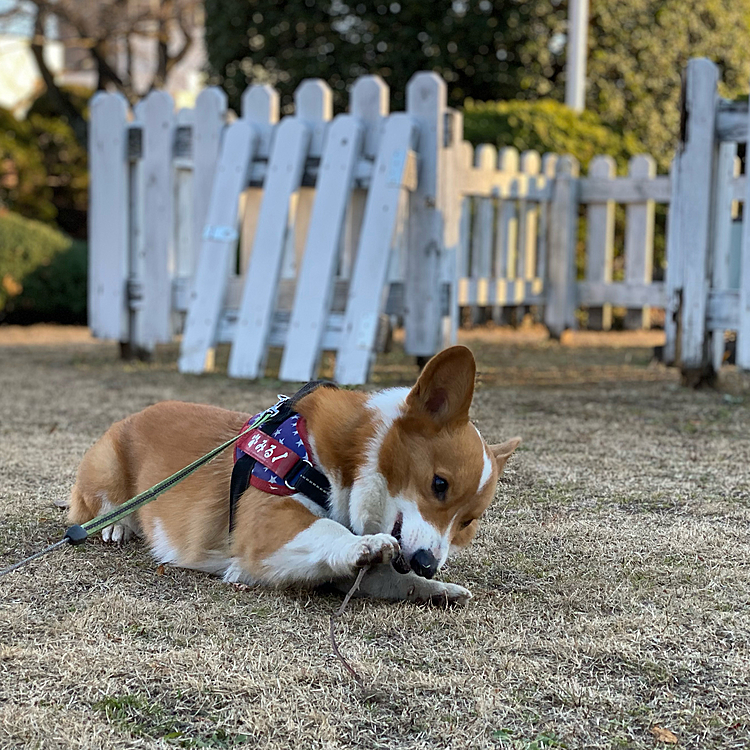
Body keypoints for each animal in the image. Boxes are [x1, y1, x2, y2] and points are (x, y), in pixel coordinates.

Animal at [67, 346, 520, 604]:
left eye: (467, 522)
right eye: (439, 484)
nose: (428, 565)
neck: (351, 460)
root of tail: (138, 412)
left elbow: (392, 579)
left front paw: (440, 592)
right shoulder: (268, 526)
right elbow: (330, 531)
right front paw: (366, 544)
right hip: (106, 469)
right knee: (93, 509)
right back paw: (116, 526)